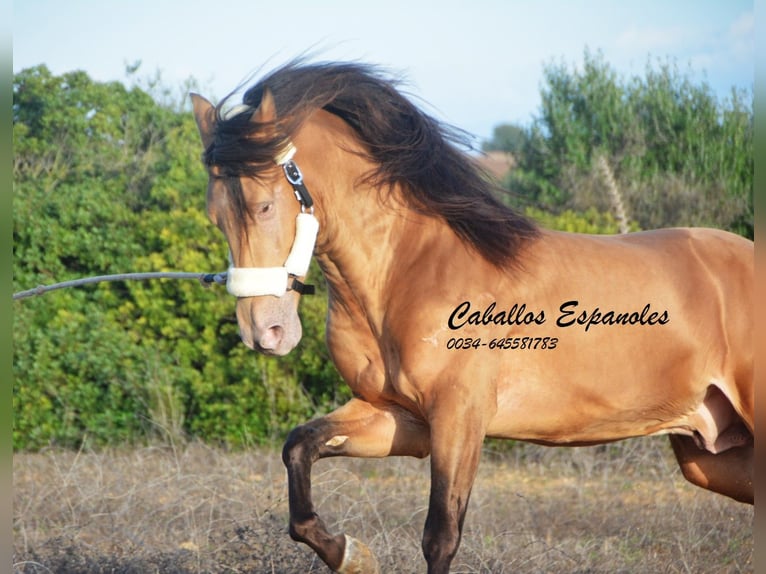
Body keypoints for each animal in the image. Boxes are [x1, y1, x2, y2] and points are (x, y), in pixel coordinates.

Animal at [189, 60, 752, 572]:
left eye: (264, 206)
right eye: (216, 215)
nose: (266, 332)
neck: (407, 270)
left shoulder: (459, 419)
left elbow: (440, 536)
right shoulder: (399, 419)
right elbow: (299, 448)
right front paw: (350, 554)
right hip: (710, 452)